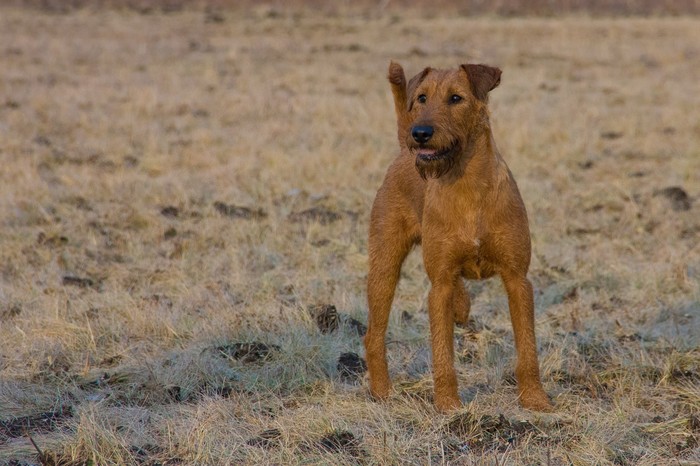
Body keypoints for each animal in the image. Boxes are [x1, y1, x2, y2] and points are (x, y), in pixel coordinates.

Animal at [366, 61, 552, 412]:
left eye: (456, 98)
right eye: (422, 97)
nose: (420, 133)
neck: (469, 187)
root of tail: (402, 151)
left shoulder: (518, 279)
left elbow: (527, 348)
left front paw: (535, 399)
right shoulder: (438, 287)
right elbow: (442, 352)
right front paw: (448, 404)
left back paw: (462, 305)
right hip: (384, 266)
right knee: (373, 335)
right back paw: (381, 391)